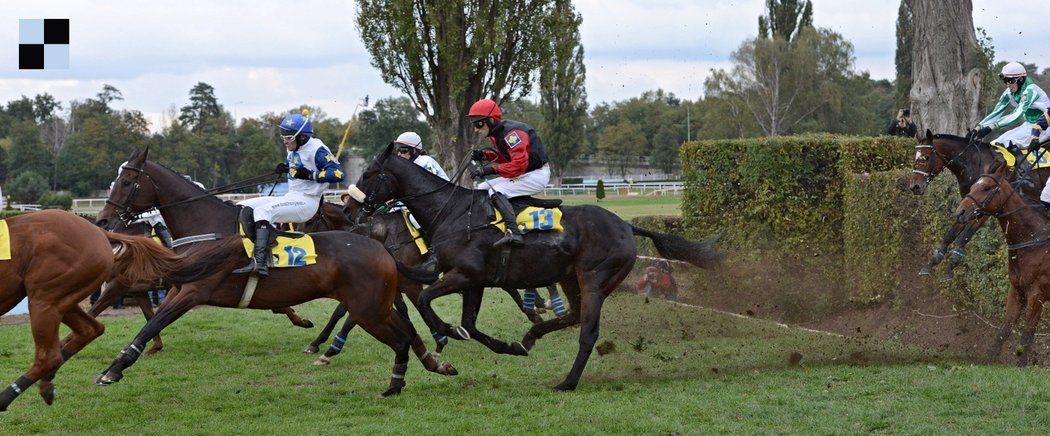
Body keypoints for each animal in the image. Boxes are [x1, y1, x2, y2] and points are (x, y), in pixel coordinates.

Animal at [0, 210, 193, 411]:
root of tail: (101, 234)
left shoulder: (119, 285)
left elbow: (101, 309)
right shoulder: (135, 288)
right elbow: (149, 316)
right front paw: (154, 346)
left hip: (45, 297)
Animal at [96, 148, 457, 397]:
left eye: (126, 182)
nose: (102, 220)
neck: (208, 228)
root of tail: (379, 248)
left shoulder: (192, 292)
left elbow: (151, 324)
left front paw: (113, 370)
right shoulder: (176, 288)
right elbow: (150, 321)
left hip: (368, 309)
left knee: (401, 334)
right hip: (373, 305)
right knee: (407, 330)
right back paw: (433, 362)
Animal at [352, 142, 722, 392]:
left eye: (369, 173)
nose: (352, 206)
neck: (451, 212)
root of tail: (627, 226)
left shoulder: (465, 275)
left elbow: (428, 300)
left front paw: (445, 331)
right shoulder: (470, 279)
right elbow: (468, 323)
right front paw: (502, 345)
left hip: (595, 279)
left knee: (588, 332)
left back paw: (568, 382)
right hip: (572, 278)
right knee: (571, 316)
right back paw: (529, 338)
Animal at [907, 129, 1045, 279]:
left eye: (925, 157)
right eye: (915, 157)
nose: (914, 186)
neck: (974, 163)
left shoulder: (983, 209)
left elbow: (964, 236)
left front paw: (951, 266)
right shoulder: (966, 207)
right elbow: (950, 234)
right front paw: (931, 263)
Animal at [957, 158, 1050, 367]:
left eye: (987, 187)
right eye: (973, 186)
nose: (961, 212)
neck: (1033, 240)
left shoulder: (1037, 294)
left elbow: (1027, 334)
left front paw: (1021, 364)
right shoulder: (1016, 291)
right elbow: (1003, 330)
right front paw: (990, 358)